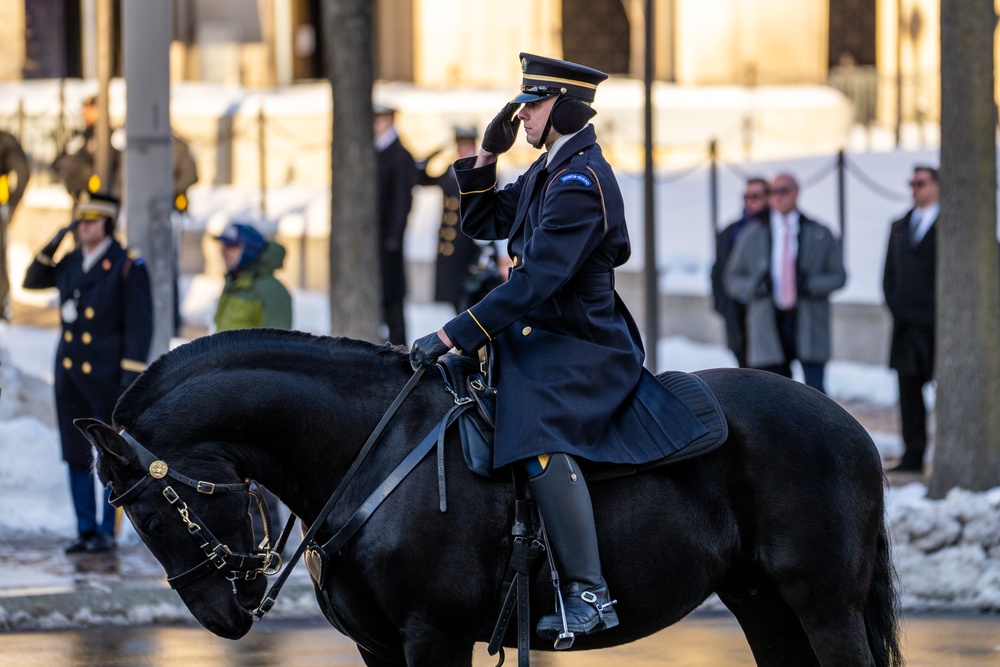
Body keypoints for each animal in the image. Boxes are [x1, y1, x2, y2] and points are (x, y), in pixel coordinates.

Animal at [82, 330, 904, 667]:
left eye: (148, 513)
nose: (224, 617)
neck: (370, 450)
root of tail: (853, 426)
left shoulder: (434, 636)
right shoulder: (378, 647)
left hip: (823, 603)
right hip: (763, 601)